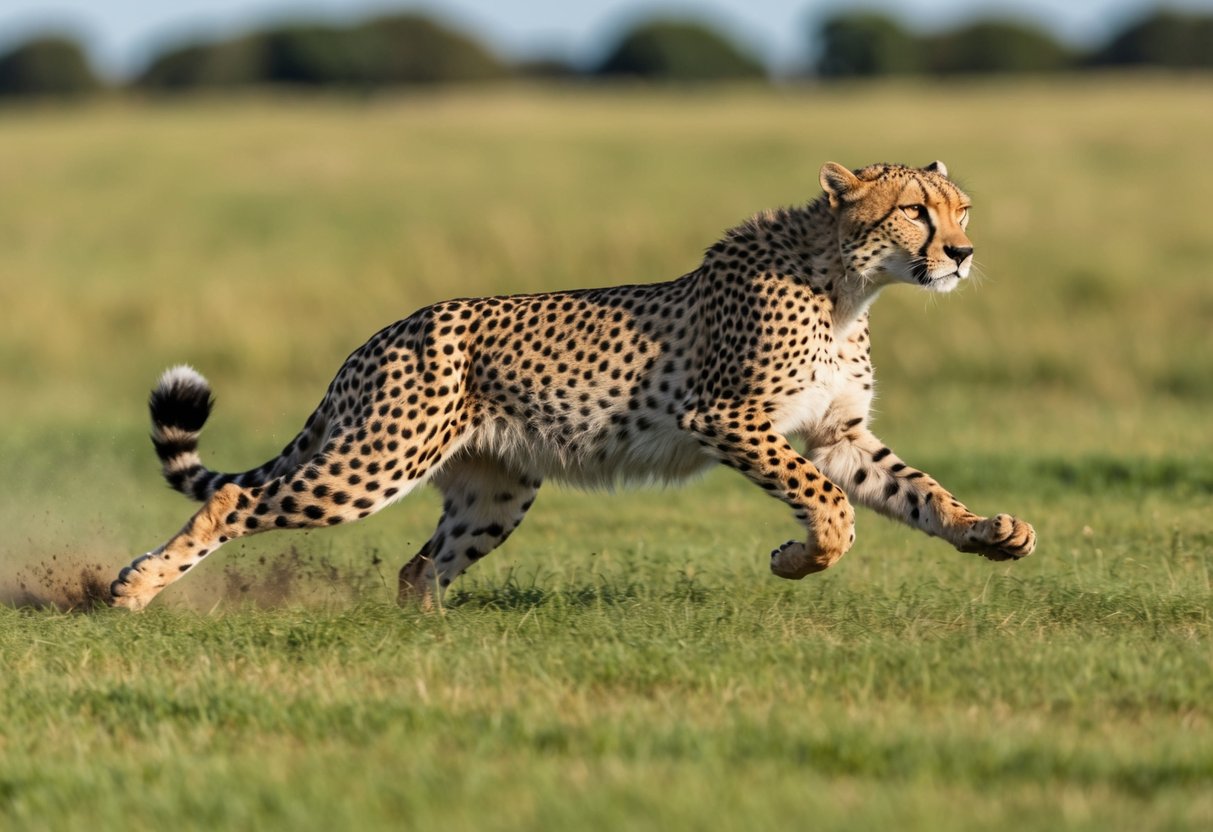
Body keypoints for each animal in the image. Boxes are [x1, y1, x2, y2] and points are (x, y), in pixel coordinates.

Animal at [110, 160, 1036, 611]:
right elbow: (830, 505)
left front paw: (988, 531)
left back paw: (426, 640)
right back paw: (134, 590)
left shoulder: (835, 432)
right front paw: (797, 558)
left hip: (495, 492)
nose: (962, 253)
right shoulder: (724, 416)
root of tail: (387, 331)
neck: (847, 284)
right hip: (375, 462)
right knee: (236, 499)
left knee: (418, 568)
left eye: (961, 209)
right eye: (915, 211)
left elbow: (913, 489)